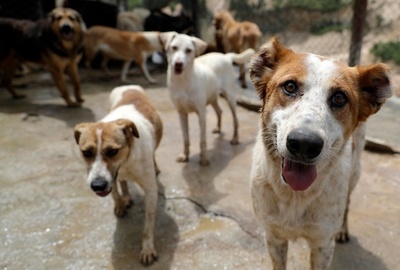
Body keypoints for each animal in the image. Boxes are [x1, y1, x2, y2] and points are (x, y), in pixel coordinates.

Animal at [73, 85, 162, 266]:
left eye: (112, 151)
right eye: (86, 152)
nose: (97, 186)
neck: (127, 161)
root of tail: (128, 86)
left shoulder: (150, 190)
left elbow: (148, 225)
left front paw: (147, 249)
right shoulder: (109, 178)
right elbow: (115, 193)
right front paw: (120, 204)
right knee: (123, 183)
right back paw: (126, 197)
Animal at [159, 32, 253, 166]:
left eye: (189, 50)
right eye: (174, 47)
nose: (178, 64)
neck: (183, 81)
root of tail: (225, 56)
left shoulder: (201, 113)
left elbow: (202, 140)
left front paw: (204, 158)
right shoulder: (181, 113)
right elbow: (185, 139)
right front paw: (185, 155)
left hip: (230, 97)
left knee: (235, 119)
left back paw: (235, 139)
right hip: (212, 97)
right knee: (219, 111)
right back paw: (218, 128)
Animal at [248, 38, 392, 270]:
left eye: (339, 98)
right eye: (290, 86)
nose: (304, 144)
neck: (295, 195)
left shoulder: (323, 245)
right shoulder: (273, 237)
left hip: (355, 173)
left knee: (348, 203)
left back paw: (343, 230)